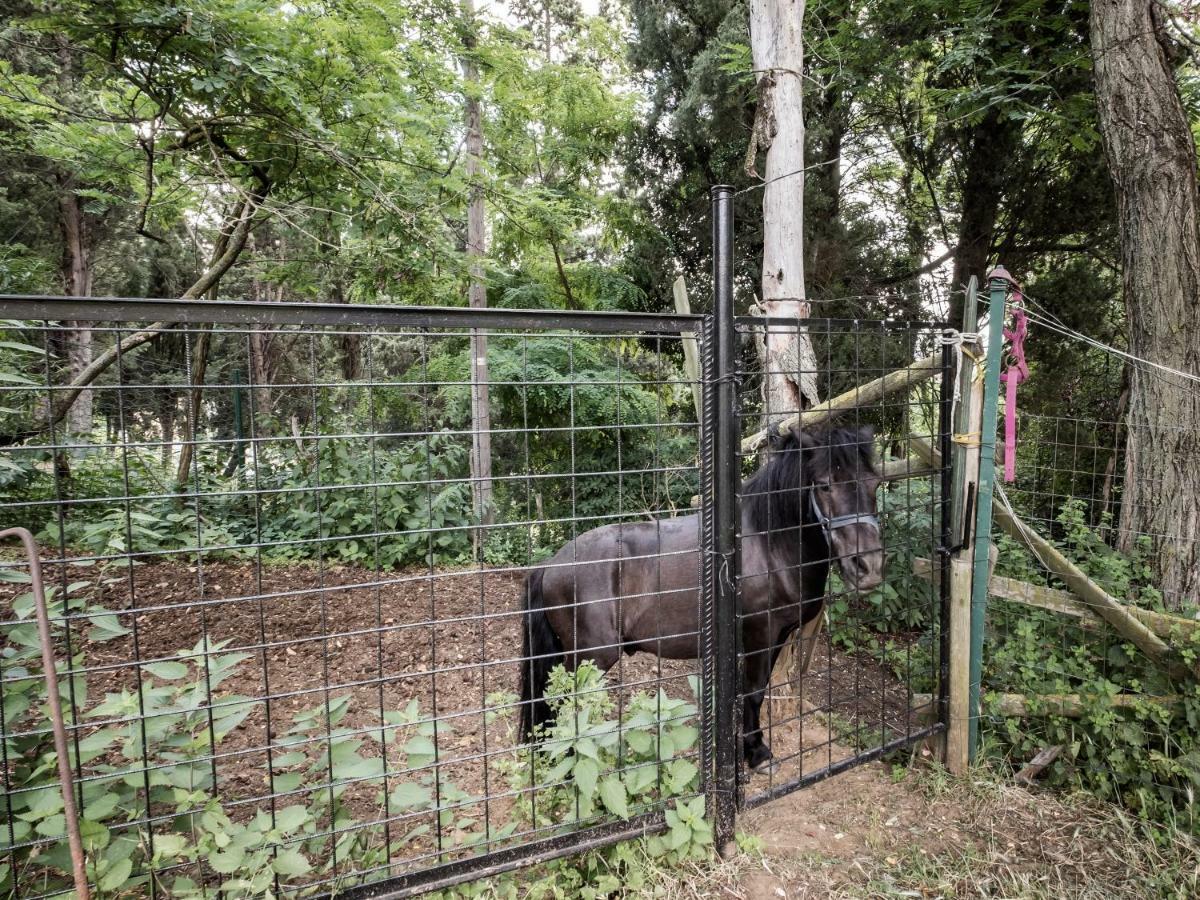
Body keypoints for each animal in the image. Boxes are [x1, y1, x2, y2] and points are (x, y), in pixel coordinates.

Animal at [516, 427, 883, 772]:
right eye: (824, 485)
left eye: (875, 483)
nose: (868, 567)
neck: (769, 544)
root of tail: (551, 566)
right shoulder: (759, 635)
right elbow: (753, 691)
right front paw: (757, 754)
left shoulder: (776, 636)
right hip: (591, 658)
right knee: (564, 703)